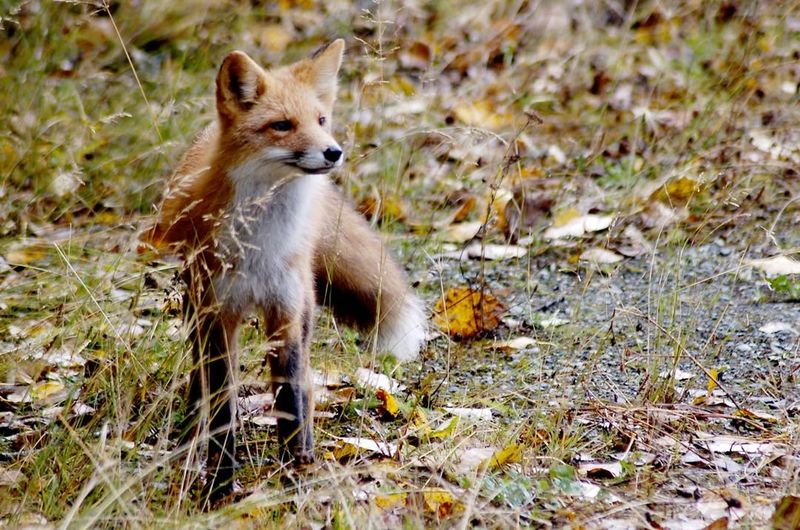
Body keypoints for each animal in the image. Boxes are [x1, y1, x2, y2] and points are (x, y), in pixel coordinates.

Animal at [141, 39, 425, 497]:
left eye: (322, 120)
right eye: (281, 125)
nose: (333, 152)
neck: (262, 244)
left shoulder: (286, 313)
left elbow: (291, 401)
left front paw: (297, 475)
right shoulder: (219, 317)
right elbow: (222, 408)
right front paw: (221, 485)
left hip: (303, 309)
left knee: (305, 384)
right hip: (196, 310)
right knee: (198, 380)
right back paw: (189, 432)